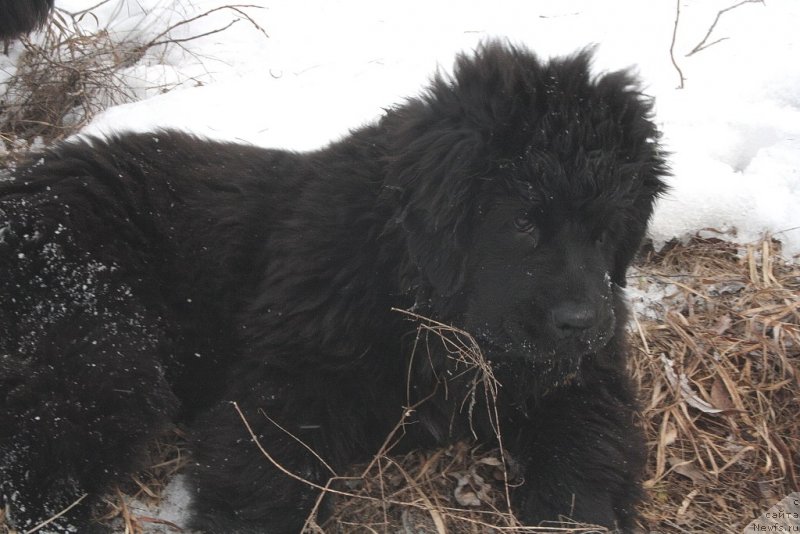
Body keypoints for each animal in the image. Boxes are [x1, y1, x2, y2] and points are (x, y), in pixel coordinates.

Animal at [0, 43, 664, 534]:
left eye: (608, 229)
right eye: (524, 221)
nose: (582, 324)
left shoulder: (580, 377)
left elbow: (591, 448)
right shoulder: (292, 381)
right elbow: (262, 478)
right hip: (96, 345)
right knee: (39, 469)